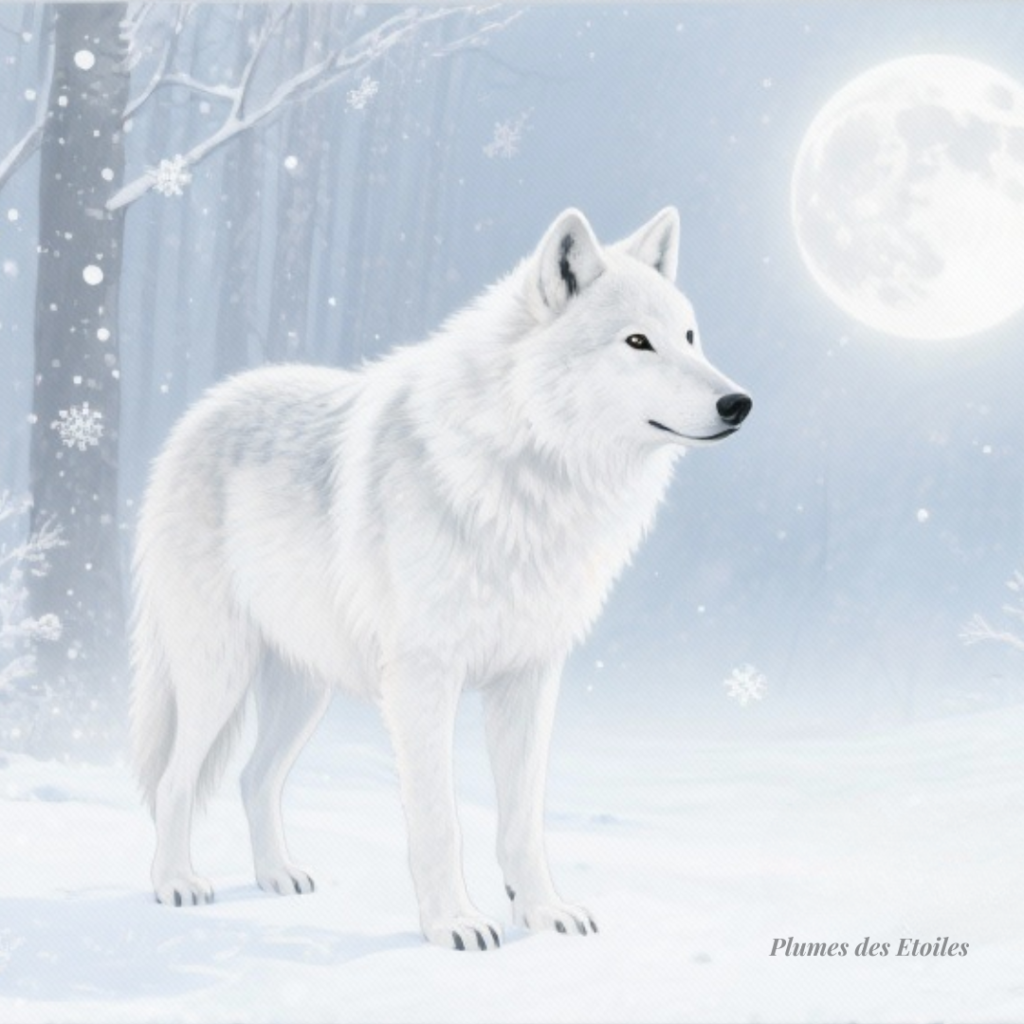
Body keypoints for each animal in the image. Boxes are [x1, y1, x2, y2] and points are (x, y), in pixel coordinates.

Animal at [131, 207, 751, 951]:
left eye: (689, 336)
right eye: (637, 342)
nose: (739, 403)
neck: (529, 473)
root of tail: (199, 414)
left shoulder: (529, 678)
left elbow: (522, 820)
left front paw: (542, 913)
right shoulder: (424, 680)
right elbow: (439, 821)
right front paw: (453, 924)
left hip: (304, 690)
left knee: (255, 778)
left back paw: (277, 876)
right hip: (218, 674)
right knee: (175, 780)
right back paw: (174, 883)